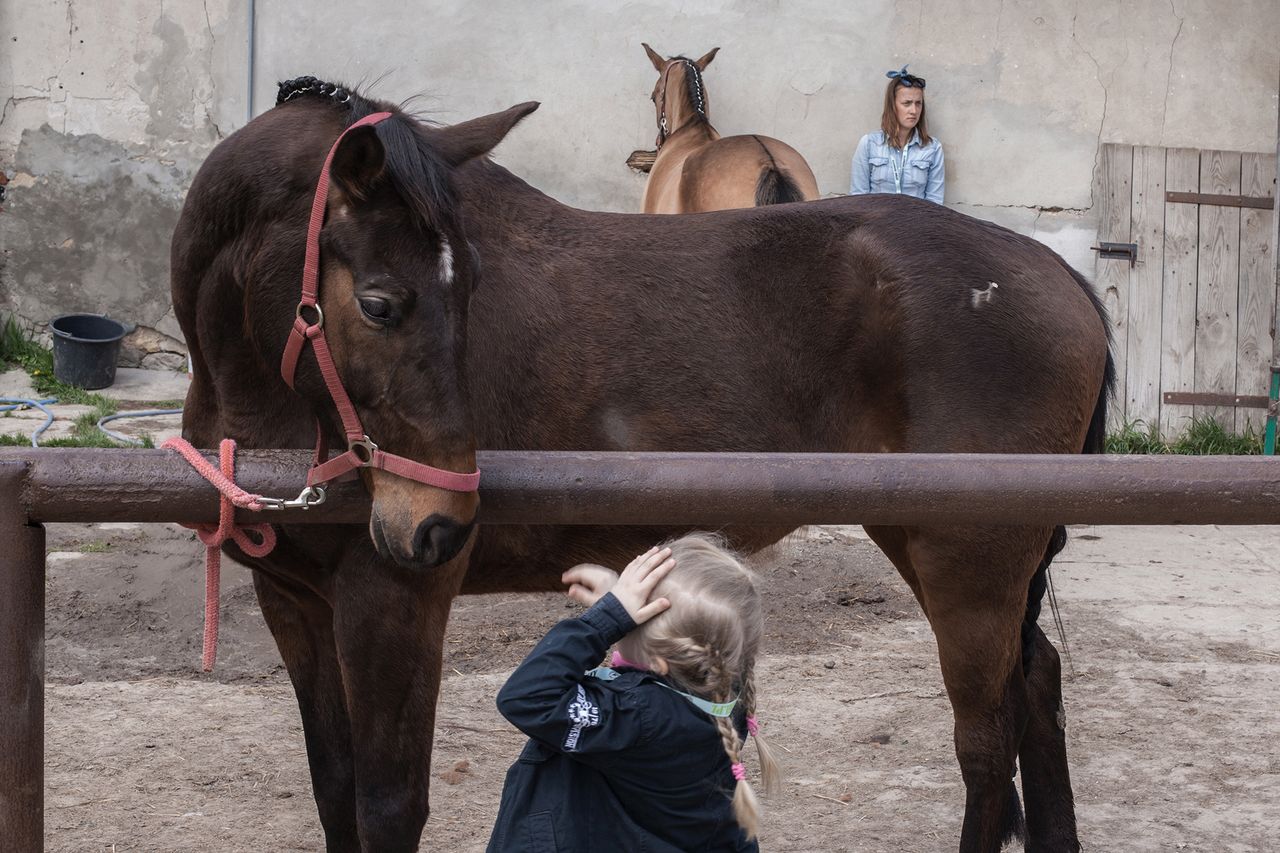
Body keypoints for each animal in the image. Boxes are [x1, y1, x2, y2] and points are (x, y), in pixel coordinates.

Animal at [170, 76, 1111, 845]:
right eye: (379, 302)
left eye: (468, 287)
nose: (439, 526)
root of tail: (1059, 276)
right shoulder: (296, 602)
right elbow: (334, 791)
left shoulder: (393, 599)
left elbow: (388, 805)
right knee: (1035, 686)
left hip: (968, 559)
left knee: (985, 743)